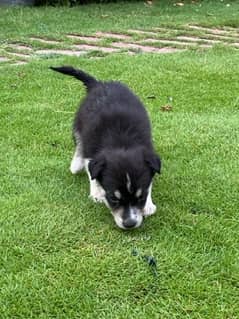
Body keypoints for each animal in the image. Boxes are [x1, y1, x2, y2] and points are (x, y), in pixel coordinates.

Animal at [51, 65, 162, 230]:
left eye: (140, 197)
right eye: (113, 198)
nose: (130, 224)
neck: (122, 141)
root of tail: (98, 84)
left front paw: (148, 204)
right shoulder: (91, 148)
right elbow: (91, 172)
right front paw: (97, 193)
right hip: (79, 123)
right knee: (78, 146)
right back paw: (75, 164)